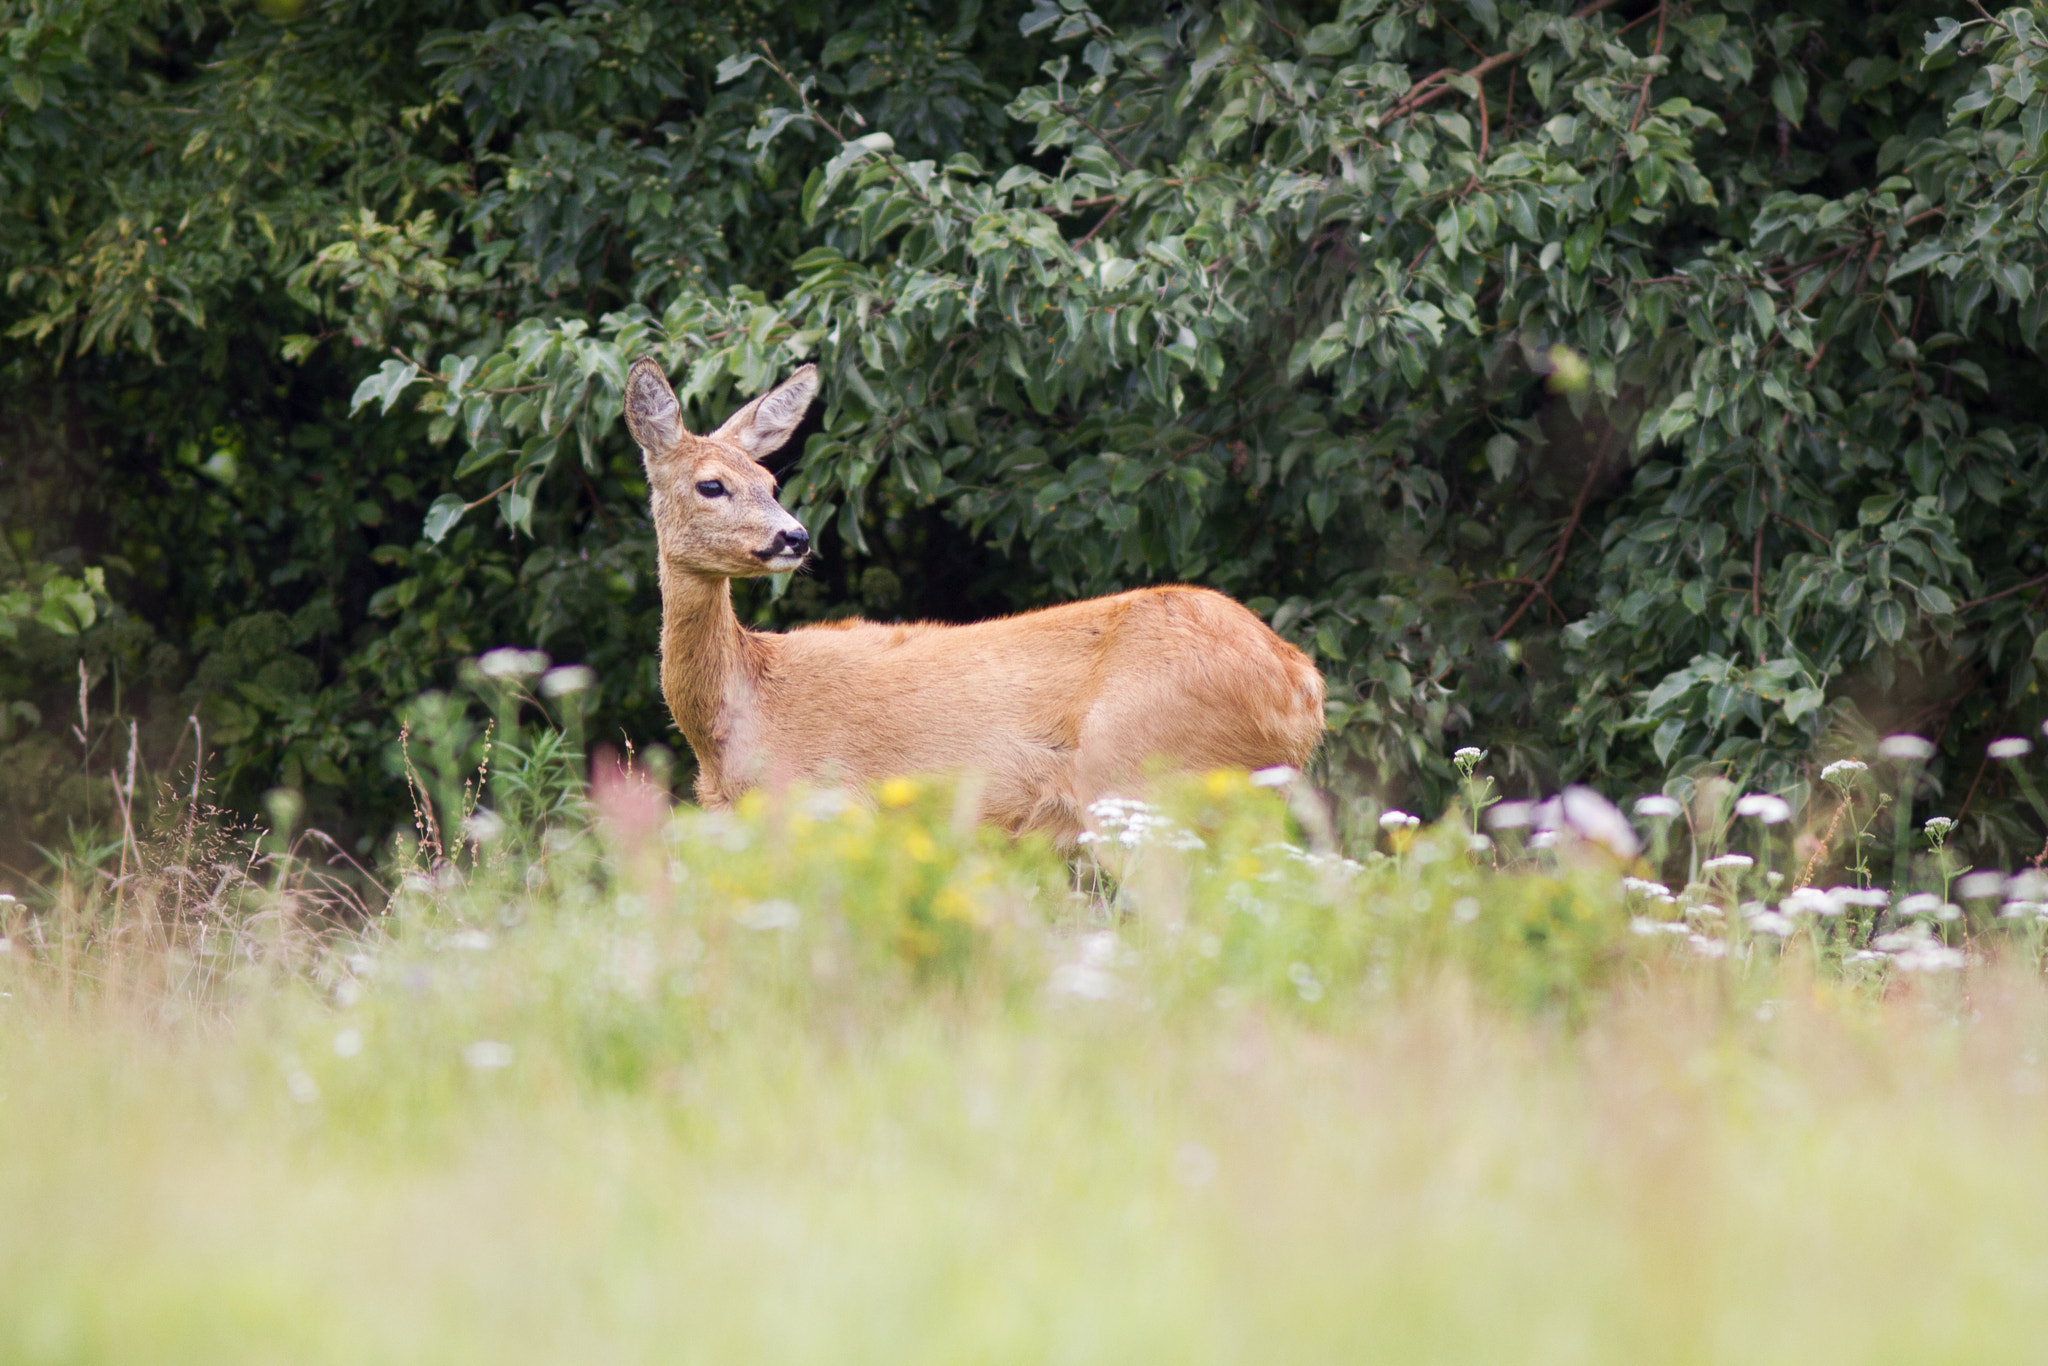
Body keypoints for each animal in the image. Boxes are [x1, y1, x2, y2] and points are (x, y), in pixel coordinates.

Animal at [622, 356, 1327, 843]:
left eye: (770, 482)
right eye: (711, 484)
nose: (794, 536)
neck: (742, 713)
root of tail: (1302, 683)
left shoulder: (833, 803)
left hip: (1151, 779)